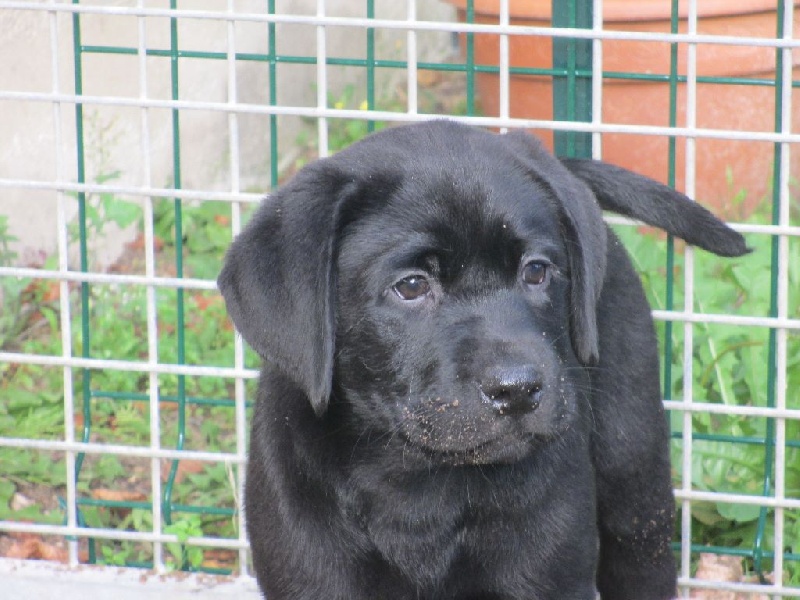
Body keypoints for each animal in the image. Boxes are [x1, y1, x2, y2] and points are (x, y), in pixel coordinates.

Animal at [218, 120, 748, 599]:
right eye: (412, 286)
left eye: (536, 271)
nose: (518, 389)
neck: (416, 482)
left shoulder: (546, 576)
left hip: (633, 469)